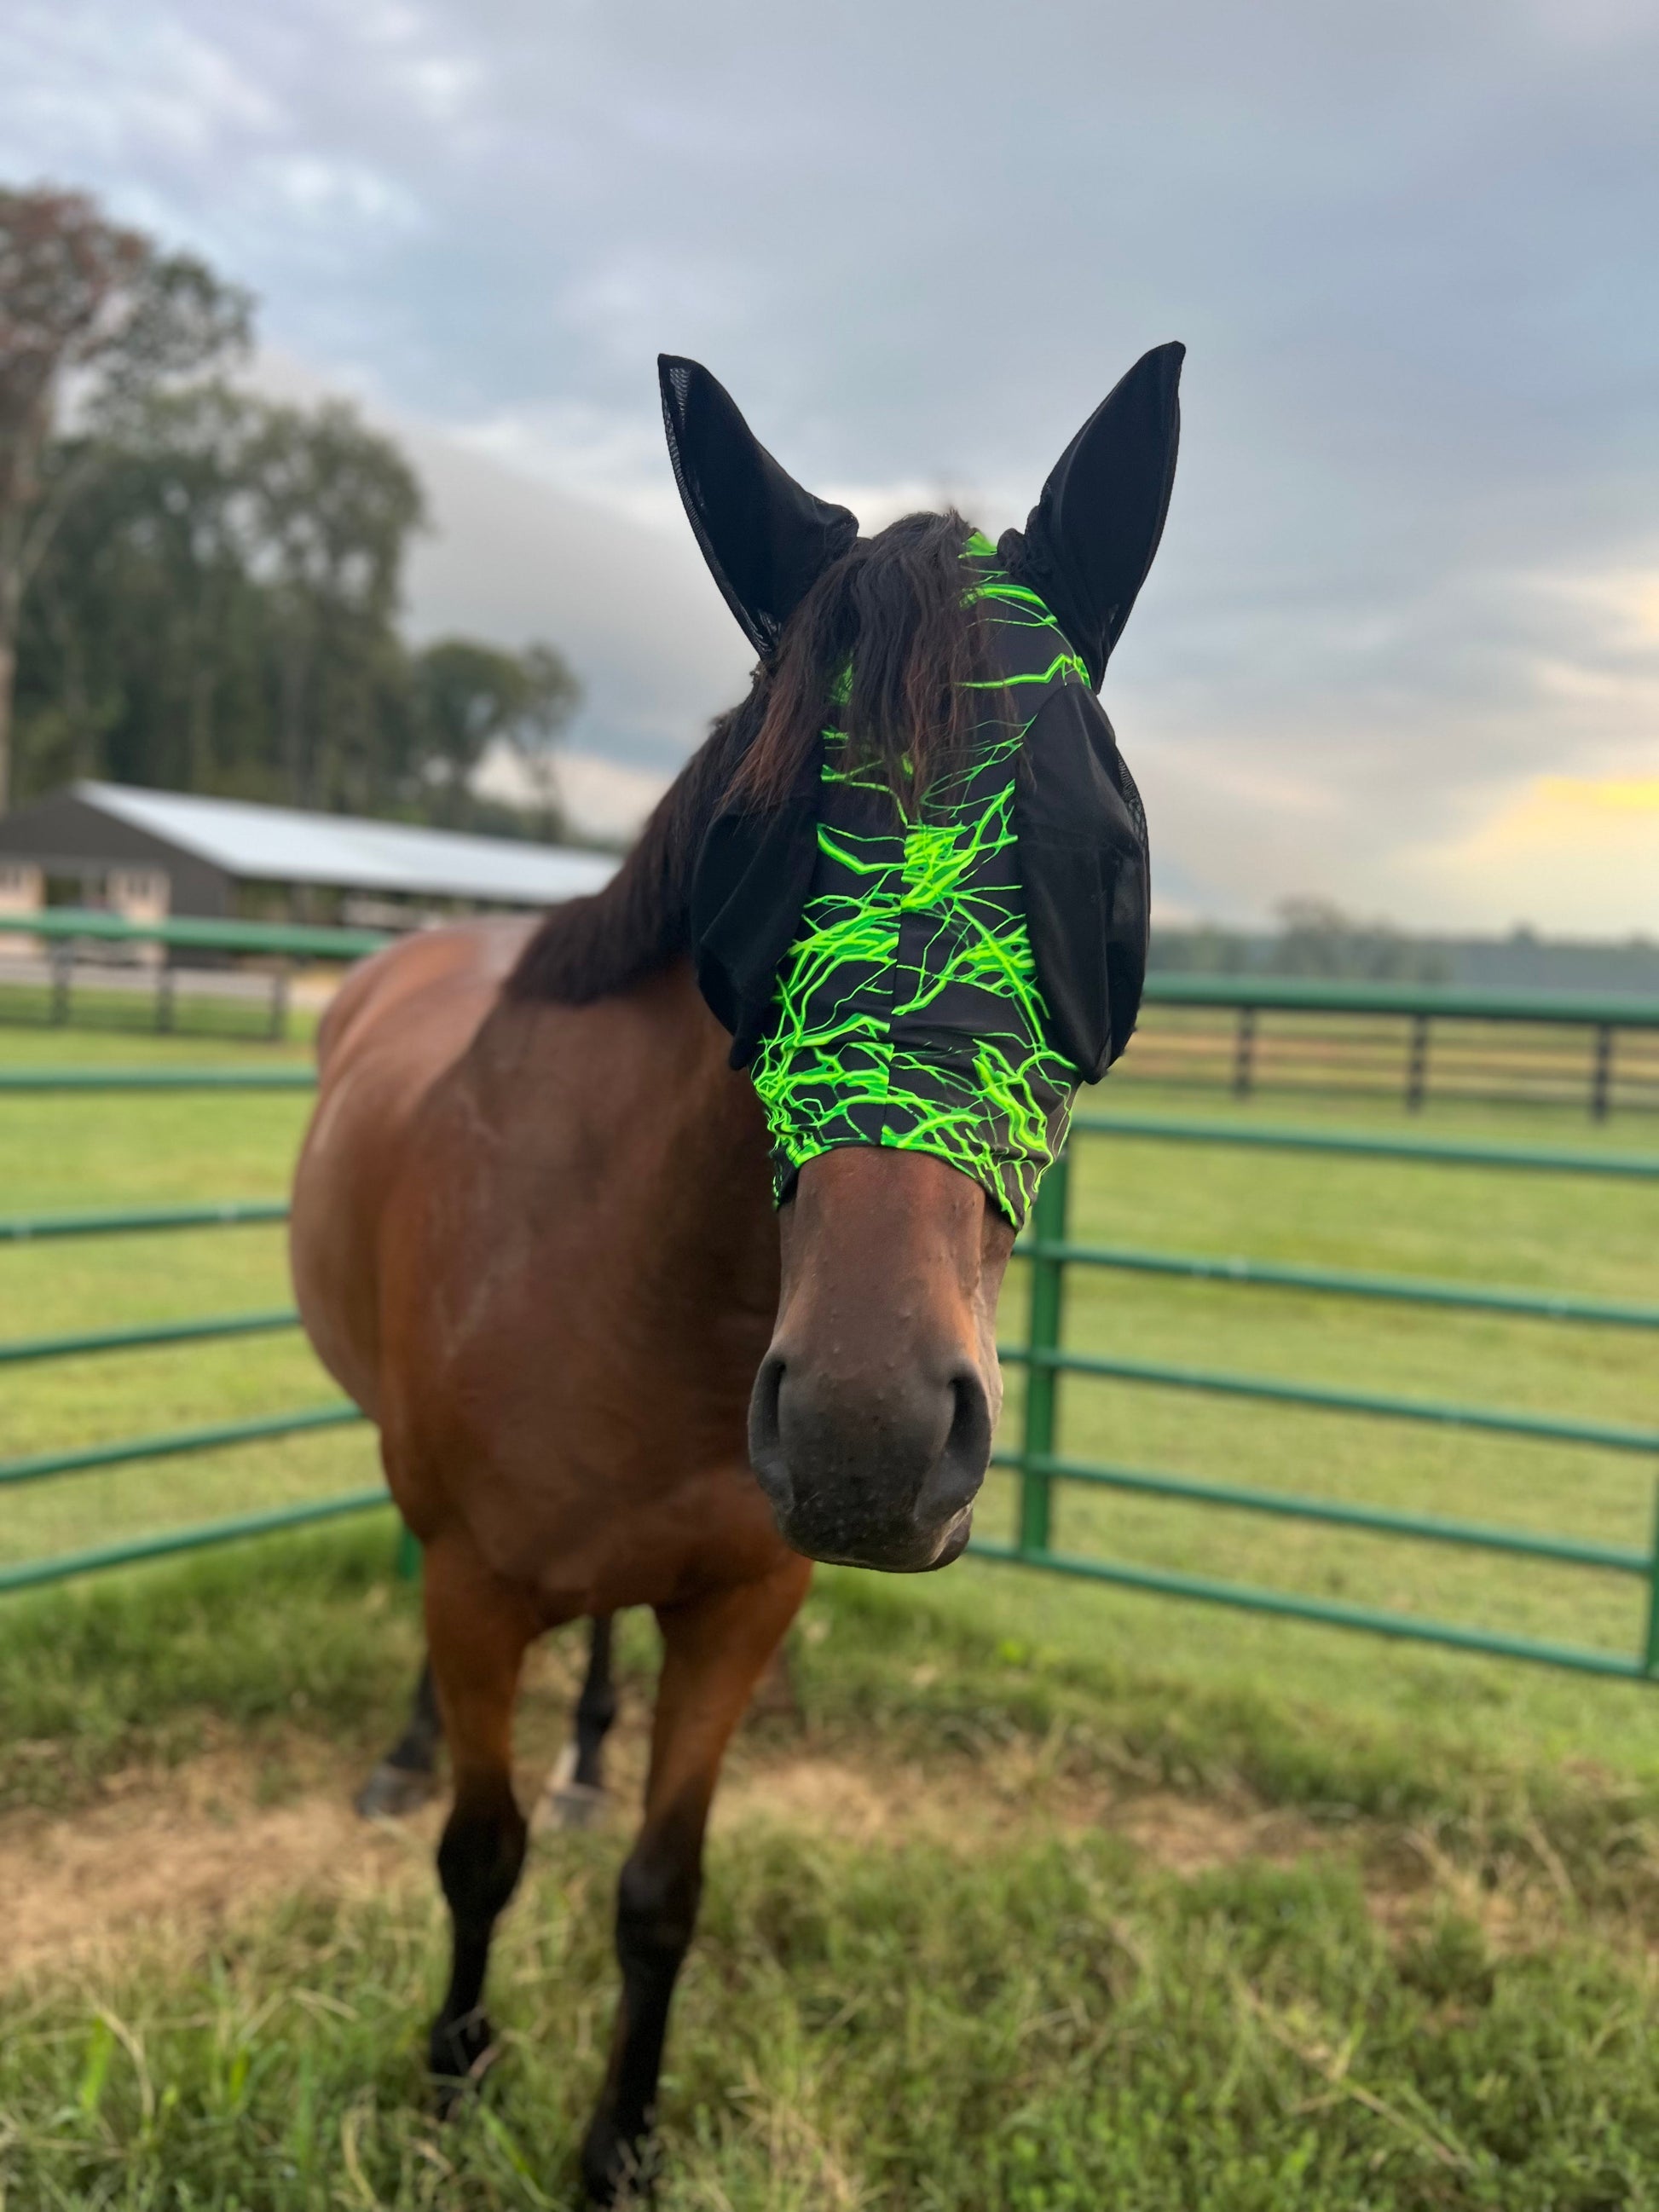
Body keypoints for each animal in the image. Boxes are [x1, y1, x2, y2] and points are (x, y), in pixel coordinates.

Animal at [296, 340, 1185, 2194]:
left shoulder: (744, 1609)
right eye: (752, 847)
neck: (642, 1283)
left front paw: (618, 2146)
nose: (865, 1434)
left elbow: (660, 1892)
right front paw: (453, 2077)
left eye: (1104, 859)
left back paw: (581, 1757)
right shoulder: (473, 1586)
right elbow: (476, 1854)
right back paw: (409, 1755)